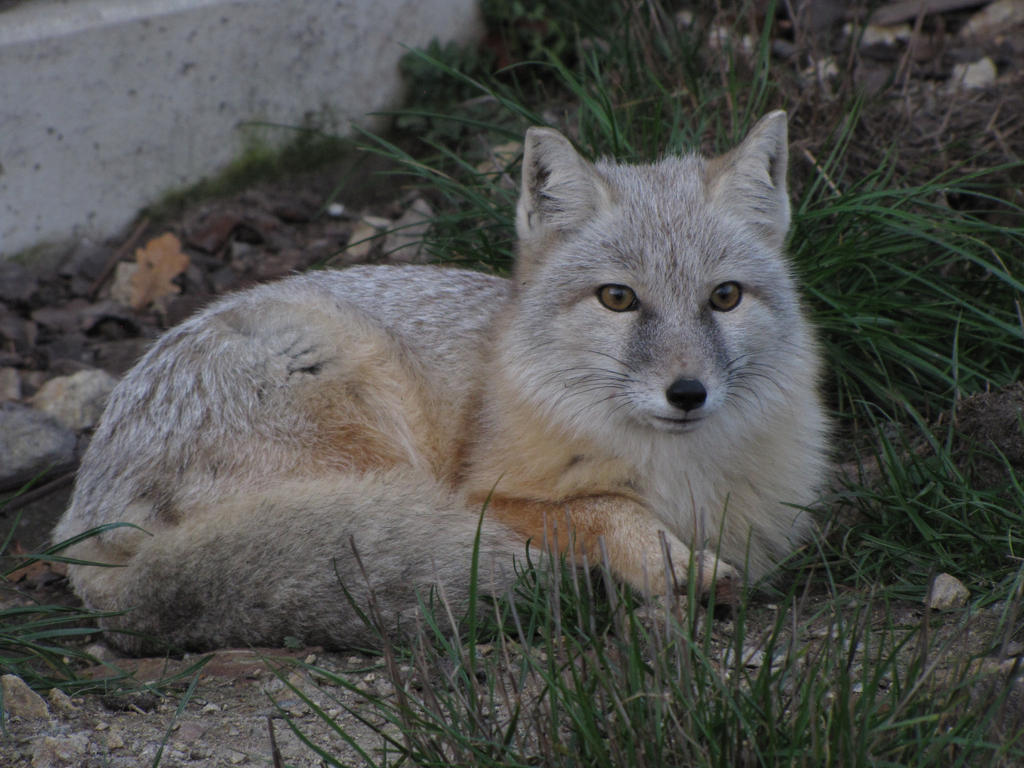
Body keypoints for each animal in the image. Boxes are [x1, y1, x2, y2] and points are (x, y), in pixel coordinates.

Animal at [53, 111, 829, 653]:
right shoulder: (490, 496)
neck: (681, 476)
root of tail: (77, 528)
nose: (687, 393)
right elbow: (606, 508)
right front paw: (677, 564)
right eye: (618, 299)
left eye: (724, 298)